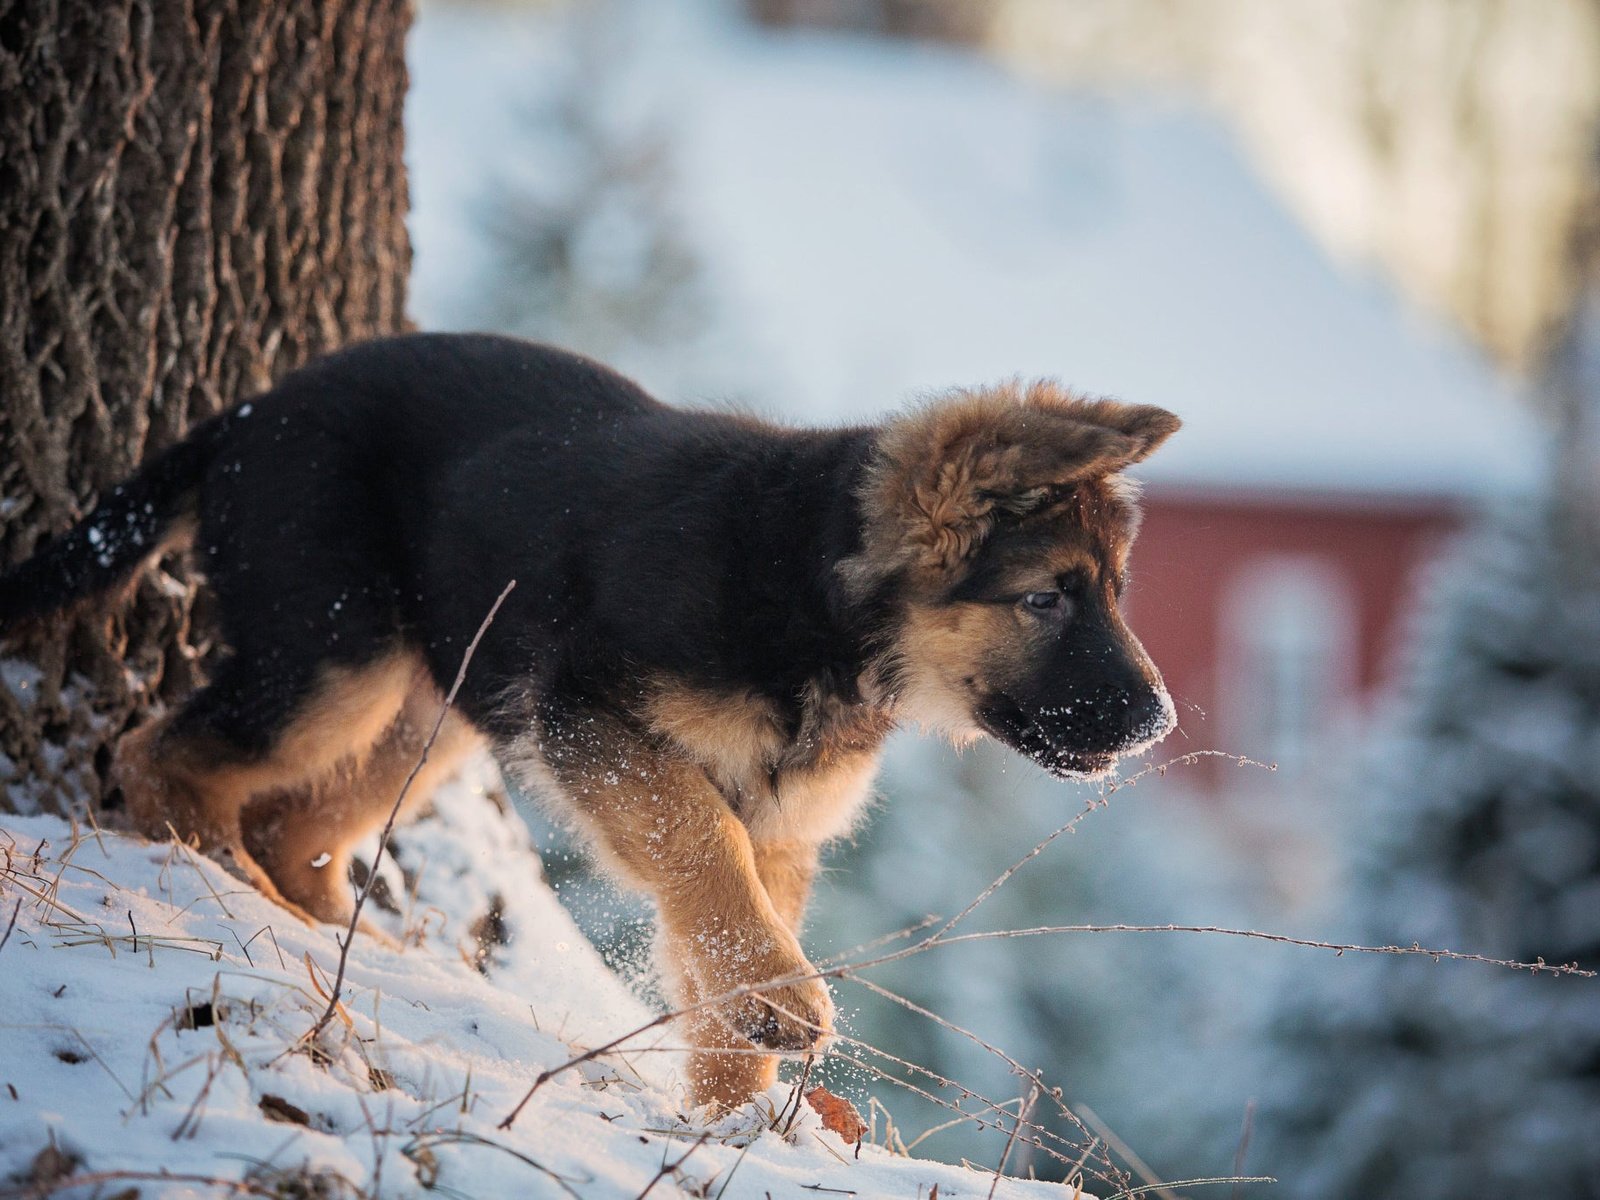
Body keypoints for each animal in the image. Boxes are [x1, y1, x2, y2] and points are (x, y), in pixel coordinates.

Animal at [0, 336, 1177, 1107]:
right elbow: (703, 847)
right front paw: (780, 1011)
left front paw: (728, 1114)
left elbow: (715, 930)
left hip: (440, 710)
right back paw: (222, 890)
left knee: (298, 823)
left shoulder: (776, 822)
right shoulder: (593, 717)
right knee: (161, 755)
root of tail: (252, 408)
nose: (1159, 725)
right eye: (1047, 598)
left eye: (1118, 591)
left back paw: (338, 938)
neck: (807, 591)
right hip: (335, 659)